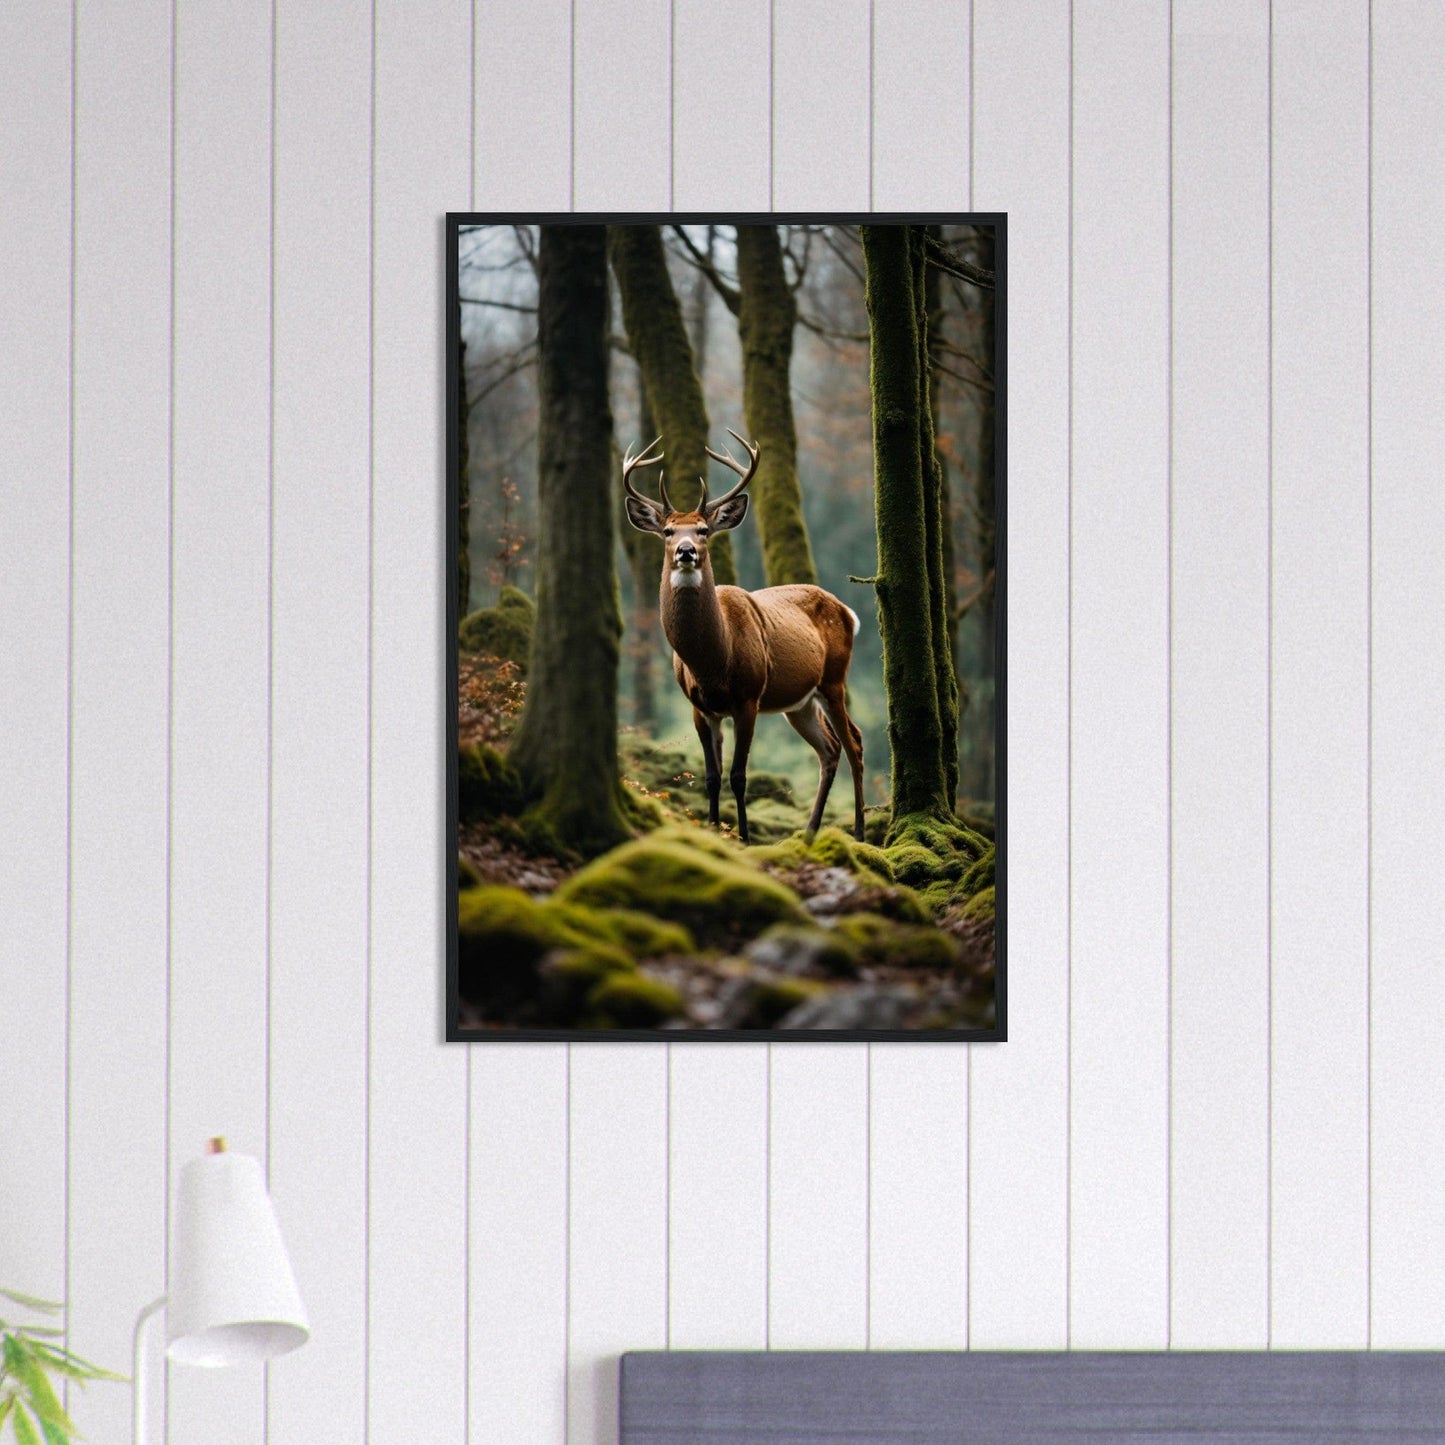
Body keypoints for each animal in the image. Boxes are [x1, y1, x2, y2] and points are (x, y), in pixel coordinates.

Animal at [622, 431, 865, 845]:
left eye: (703, 529)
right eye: (668, 531)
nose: (686, 551)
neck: (713, 661)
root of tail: (847, 611)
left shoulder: (748, 697)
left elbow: (738, 776)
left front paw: (746, 839)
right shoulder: (700, 707)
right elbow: (711, 777)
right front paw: (713, 833)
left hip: (834, 679)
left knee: (855, 743)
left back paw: (862, 833)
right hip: (798, 702)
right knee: (830, 749)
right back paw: (809, 833)